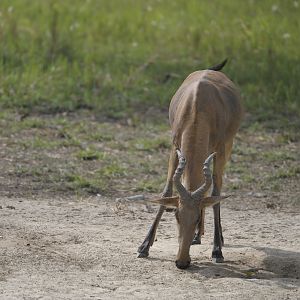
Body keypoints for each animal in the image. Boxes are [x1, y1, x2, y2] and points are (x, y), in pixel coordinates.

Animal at [137, 59, 243, 270]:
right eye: (177, 215)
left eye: (196, 218)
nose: (182, 262)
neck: (198, 105)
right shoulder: (174, 147)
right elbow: (166, 192)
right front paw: (144, 247)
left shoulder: (219, 150)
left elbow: (215, 194)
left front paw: (217, 251)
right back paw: (196, 238)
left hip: (228, 147)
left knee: (216, 187)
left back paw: (214, 240)